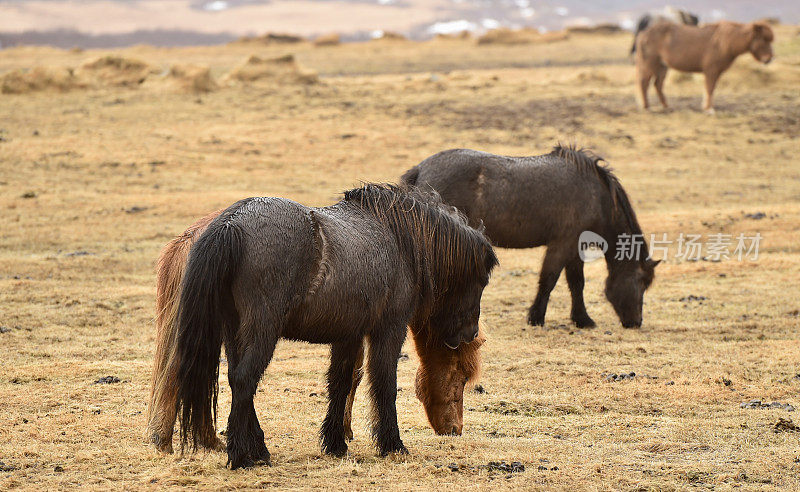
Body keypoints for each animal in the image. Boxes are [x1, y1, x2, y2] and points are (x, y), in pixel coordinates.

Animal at [147, 184, 490, 468]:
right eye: (481, 281)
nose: (470, 334)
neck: (398, 239)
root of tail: (231, 223)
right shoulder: (388, 329)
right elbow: (383, 384)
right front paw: (392, 445)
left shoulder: (348, 335)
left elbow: (340, 382)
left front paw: (336, 443)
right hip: (262, 329)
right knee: (244, 379)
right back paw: (241, 456)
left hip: (234, 331)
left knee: (236, 378)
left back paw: (257, 450)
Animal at [404, 146, 660, 330]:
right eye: (641, 282)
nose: (635, 322)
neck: (596, 196)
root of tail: (420, 169)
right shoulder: (562, 244)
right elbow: (549, 279)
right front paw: (536, 317)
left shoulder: (574, 248)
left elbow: (576, 283)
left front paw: (582, 319)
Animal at [636, 20, 772, 112]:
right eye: (763, 39)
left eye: (769, 39)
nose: (768, 59)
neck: (724, 43)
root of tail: (644, 34)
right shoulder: (711, 71)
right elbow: (709, 88)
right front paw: (709, 109)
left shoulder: (715, 72)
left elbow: (710, 88)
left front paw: (706, 107)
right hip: (650, 64)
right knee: (644, 83)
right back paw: (646, 107)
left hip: (662, 67)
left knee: (657, 85)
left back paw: (666, 106)